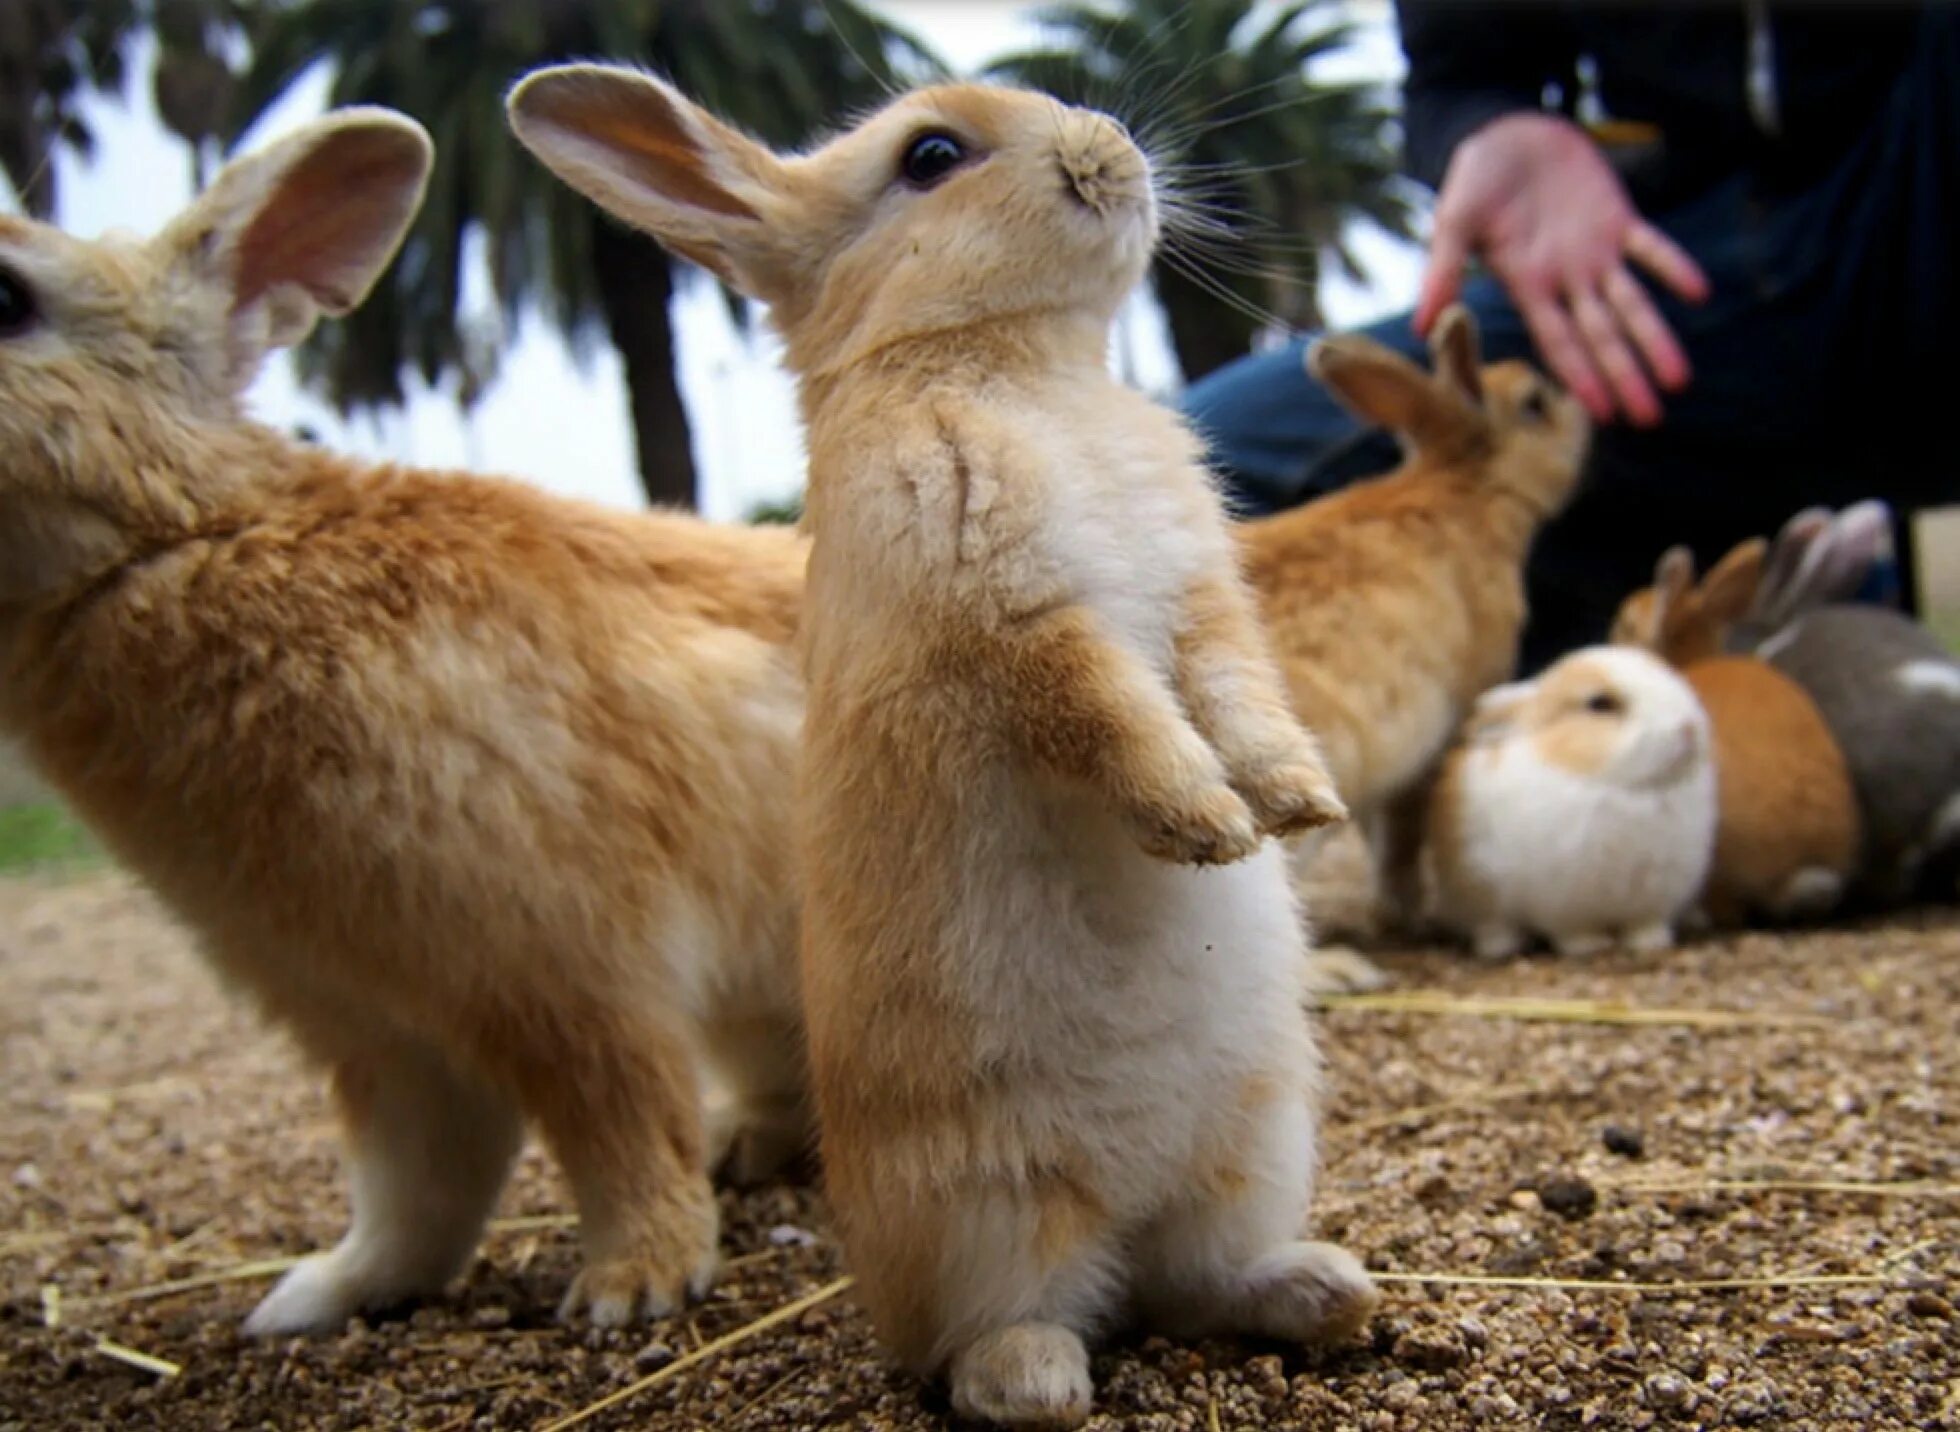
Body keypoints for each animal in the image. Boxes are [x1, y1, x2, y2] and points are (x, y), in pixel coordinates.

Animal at [0, 109, 811, 1332]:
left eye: (5, 299)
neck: (177, 539)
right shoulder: (368, 1020)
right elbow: (418, 1184)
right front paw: (318, 1297)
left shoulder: (562, 965)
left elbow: (619, 1124)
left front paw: (633, 1287)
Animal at [509, 67, 1379, 1426]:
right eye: (929, 156)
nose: (1113, 150)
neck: (1013, 361)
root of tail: (1123, 1212)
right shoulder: (1013, 619)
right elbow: (1114, 715)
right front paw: (1206, 826)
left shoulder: (1201, 603)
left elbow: (1238, 693)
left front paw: (1295, 809)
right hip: (985, 1208)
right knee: (1002, 1334)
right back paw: (1040, 1378)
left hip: (1257, 1145)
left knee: (1192, 1284)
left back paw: (1325, 1290)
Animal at [1238, 309, 1591, 936]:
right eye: (1534, 402)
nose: (1581, 408)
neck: (1467, 487)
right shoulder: (1436, 738)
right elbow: (1401, 837)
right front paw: (1404, 915)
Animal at [1426, 646, 1716, 955]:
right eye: (1600, 704)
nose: (1689, 728)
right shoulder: (1561, 900)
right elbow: (1572, 930)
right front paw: (1591, 945)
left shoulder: (1655, 893)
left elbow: (1644, 922)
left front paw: (1651, 942)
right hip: (1477, 891)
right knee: (1490, 924)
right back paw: (1502, 946)